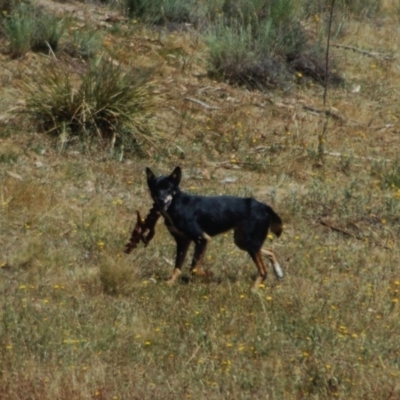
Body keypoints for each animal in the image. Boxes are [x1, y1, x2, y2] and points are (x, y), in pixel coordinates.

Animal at [145, 166, 282, 288]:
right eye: (155, 189)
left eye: (168, 188)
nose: (161, 200)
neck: (176, 205)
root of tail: (265, 207)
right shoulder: (182, 242)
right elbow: (177, 267)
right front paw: (170, 283)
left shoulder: (202, 239)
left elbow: (194, 268)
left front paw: (207, 274)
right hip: (242, 242)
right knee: (270, 251)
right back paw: (278, 271)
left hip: (250, 243)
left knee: (263, 271)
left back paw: (253, 290)